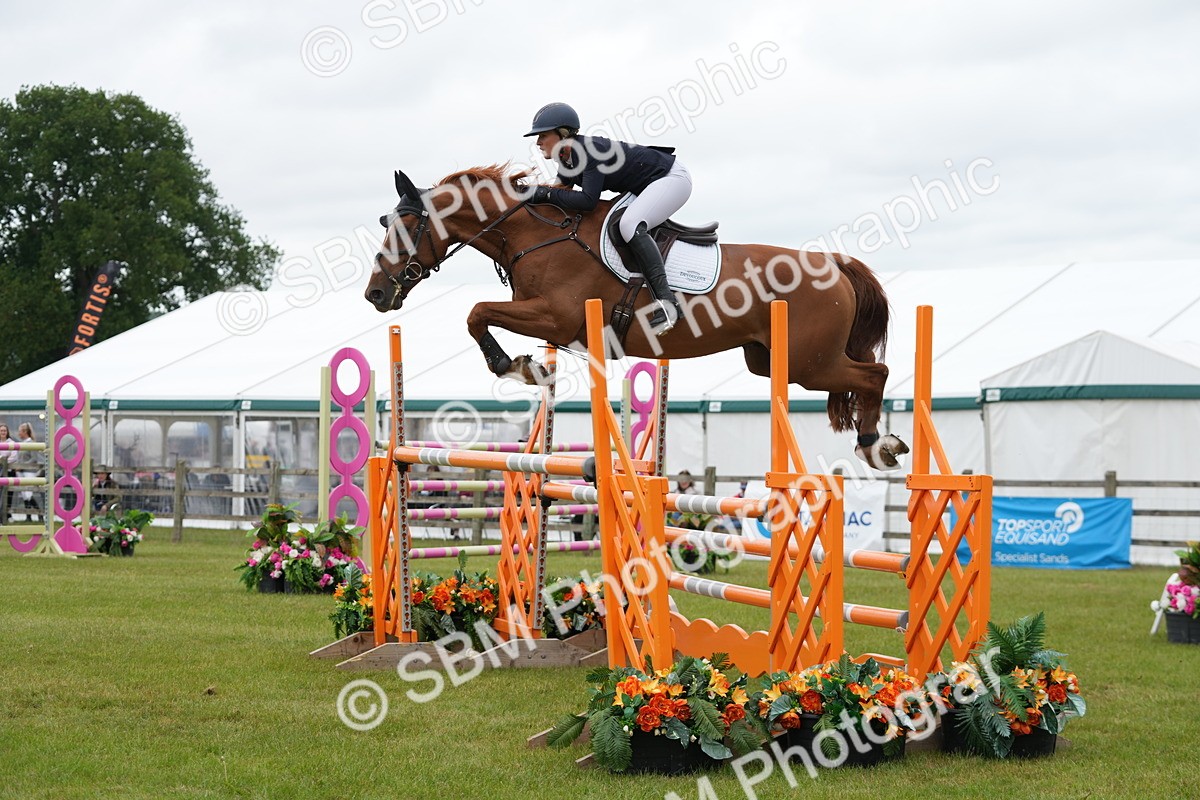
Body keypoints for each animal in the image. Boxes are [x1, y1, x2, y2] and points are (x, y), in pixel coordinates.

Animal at [365, 165, 908, 469]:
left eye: (406, 226)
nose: (375, 294)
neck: (533, 237)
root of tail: (834, 264)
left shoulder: (555, 319)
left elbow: (476, 313)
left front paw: (516, 366)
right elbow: (478, 315)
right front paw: (531, 367)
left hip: (806, 363)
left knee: (875, 372)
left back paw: (876, 445)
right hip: (770, 361)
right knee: (866, 373)